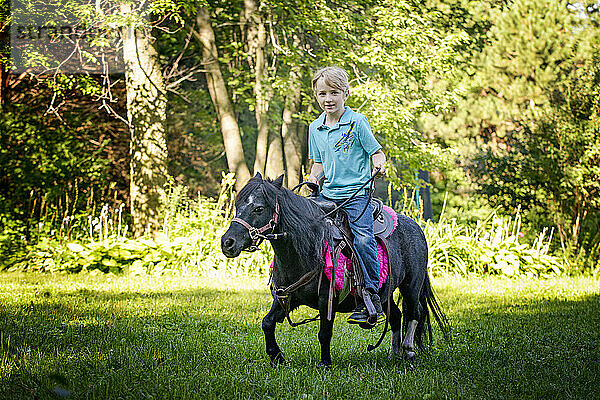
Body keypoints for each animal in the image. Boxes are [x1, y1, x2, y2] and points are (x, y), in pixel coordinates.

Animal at [223, 173, 448, 364]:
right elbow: (267, 323)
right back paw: (395, 353)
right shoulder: (286, 297)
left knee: (414, 312)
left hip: (412, 285)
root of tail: (416, 226)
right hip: (386, 292)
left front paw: (325, 363)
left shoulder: (326, 299)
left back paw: (408, 350)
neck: (308, 247)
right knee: (396, 315)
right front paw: (276, 357)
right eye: (238, 205)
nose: (227, 242)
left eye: (259, 208)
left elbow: (324, 333)